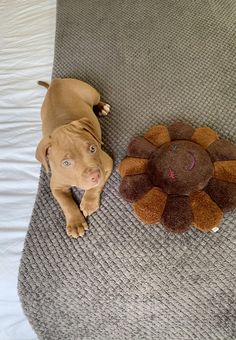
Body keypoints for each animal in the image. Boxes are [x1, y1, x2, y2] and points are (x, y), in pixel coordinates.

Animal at [36, 78, 113, 238]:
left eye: (93, 148)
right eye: (66, 163)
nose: (95, 176)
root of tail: (56, 82)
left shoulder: (106, 165)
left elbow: (95, 187)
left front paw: (88, 203)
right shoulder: (56, 185)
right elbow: (66, 203)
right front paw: (76, 223)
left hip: (90, 92)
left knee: (96, 100)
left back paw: (102, 107)